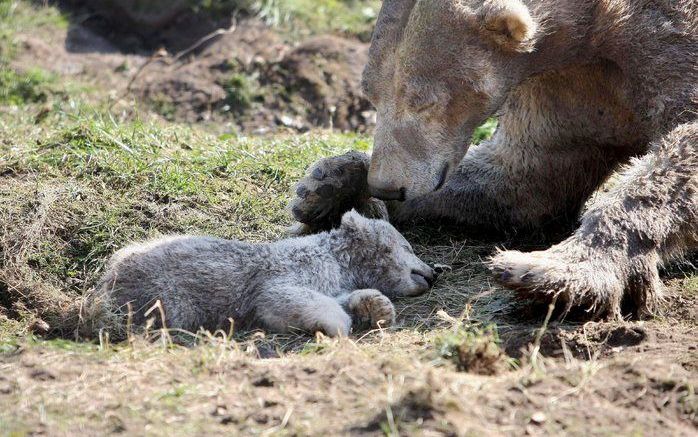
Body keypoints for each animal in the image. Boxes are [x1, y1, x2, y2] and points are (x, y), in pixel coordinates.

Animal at [286, 0, 692, 320]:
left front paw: (547, 271)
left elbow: (681, 148)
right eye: (370, 93)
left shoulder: (666, 41)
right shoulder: (568, 89)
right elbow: (524, 176)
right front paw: (330, 186)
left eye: (424, 102)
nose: (387, 186)